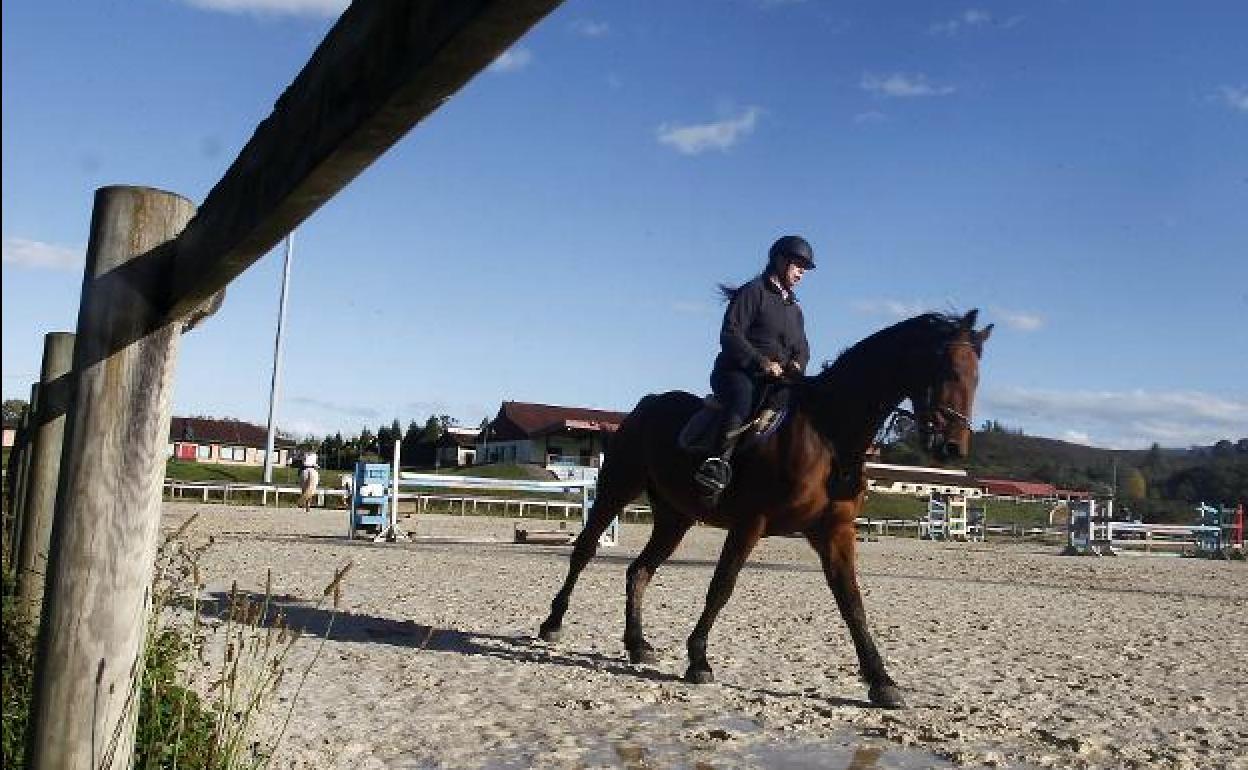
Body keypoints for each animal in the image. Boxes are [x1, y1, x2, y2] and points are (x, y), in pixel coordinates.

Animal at [536, 305, 993, 708]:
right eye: (949, 371)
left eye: (977, 378)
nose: (954, 448)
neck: (828, 435)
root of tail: (647, 404)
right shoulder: (750, 523)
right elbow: (721, 587)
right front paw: (699, 660)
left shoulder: (835, 533)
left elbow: (852, 603)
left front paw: (882, 682)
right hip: (617, 489)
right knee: (585, 550)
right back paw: (552, 624)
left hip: (675, 518)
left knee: (639, 571)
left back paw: (636, 644)